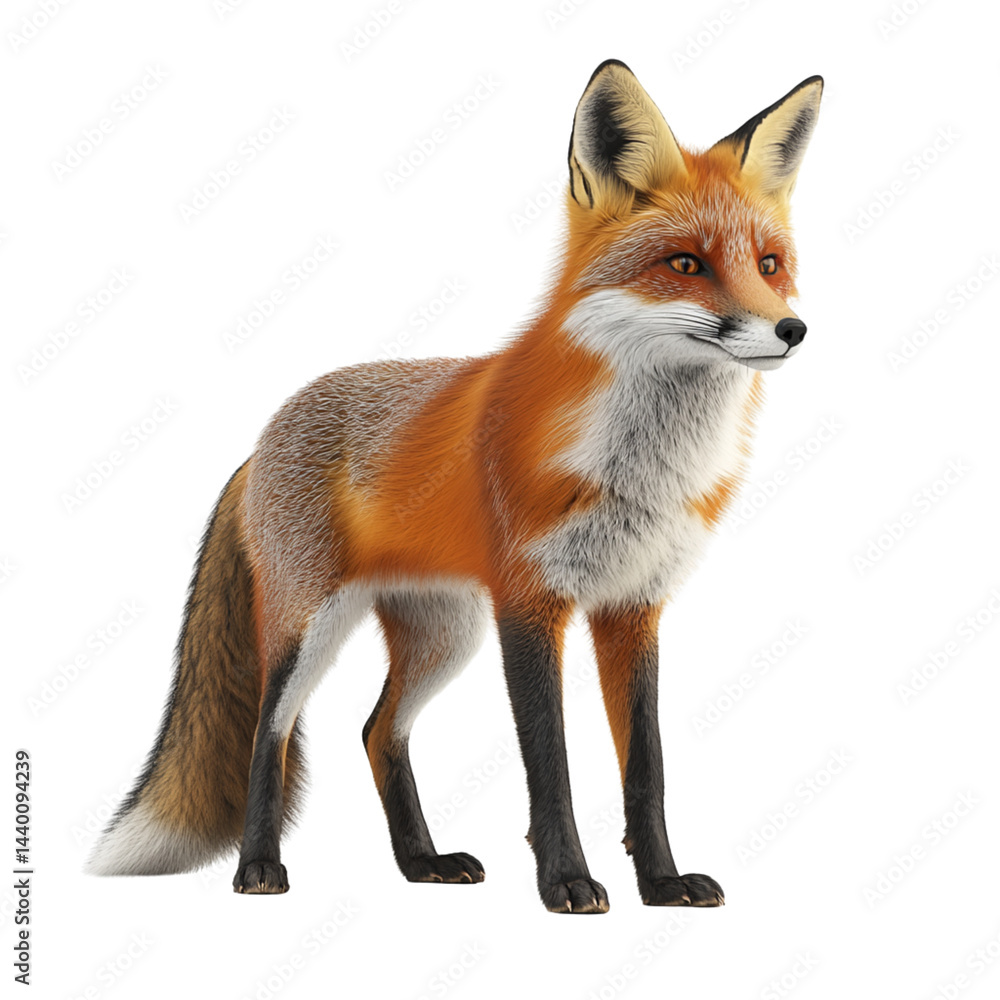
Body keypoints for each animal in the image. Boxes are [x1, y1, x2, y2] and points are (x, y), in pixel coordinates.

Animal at [86, 60, 822, 913]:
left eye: (768, 264)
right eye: (685, 265)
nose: (792, 331)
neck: (641, 469)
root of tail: (265, 433)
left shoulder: (633, 606)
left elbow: (647, 769)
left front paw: (662, 882)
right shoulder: (529, 603)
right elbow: (550, 766)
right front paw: (567, 881)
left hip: (444, 633)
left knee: (377, 731)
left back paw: (421, 863)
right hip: (313, 625)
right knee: (271, 733)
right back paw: (259, 869)